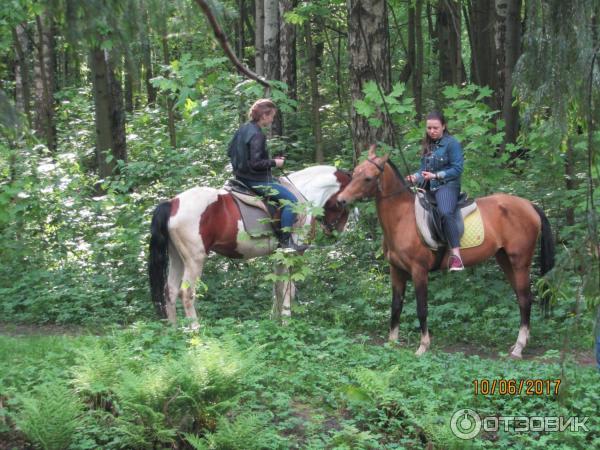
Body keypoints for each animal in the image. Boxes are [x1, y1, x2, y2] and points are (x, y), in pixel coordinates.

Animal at [148, 165, 352, 326]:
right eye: (343, 204)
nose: (336, 231)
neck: (303, 195)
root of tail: (172, 203)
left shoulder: (279, 254)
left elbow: (278, 287)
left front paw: (275, 320)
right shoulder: (292, 254)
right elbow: (289, 287)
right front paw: (287, 321)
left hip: (176, 257)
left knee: (170, 291)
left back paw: (175, 331)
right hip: (194, 259)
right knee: (187, 292)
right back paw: (195, 331)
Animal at [338, 148, 552, 358]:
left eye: (368, 178)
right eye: (354, 173)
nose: (341, 200)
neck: (402, 218)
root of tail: (529, 205)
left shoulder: (419, 271)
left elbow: (421, 308)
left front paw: (423, 346)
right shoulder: (396, 270)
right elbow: (396, 306)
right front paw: (392, 344)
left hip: (520, 262)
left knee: (525, 299)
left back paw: (518, 348)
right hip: (505, 260)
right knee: (521, 298)